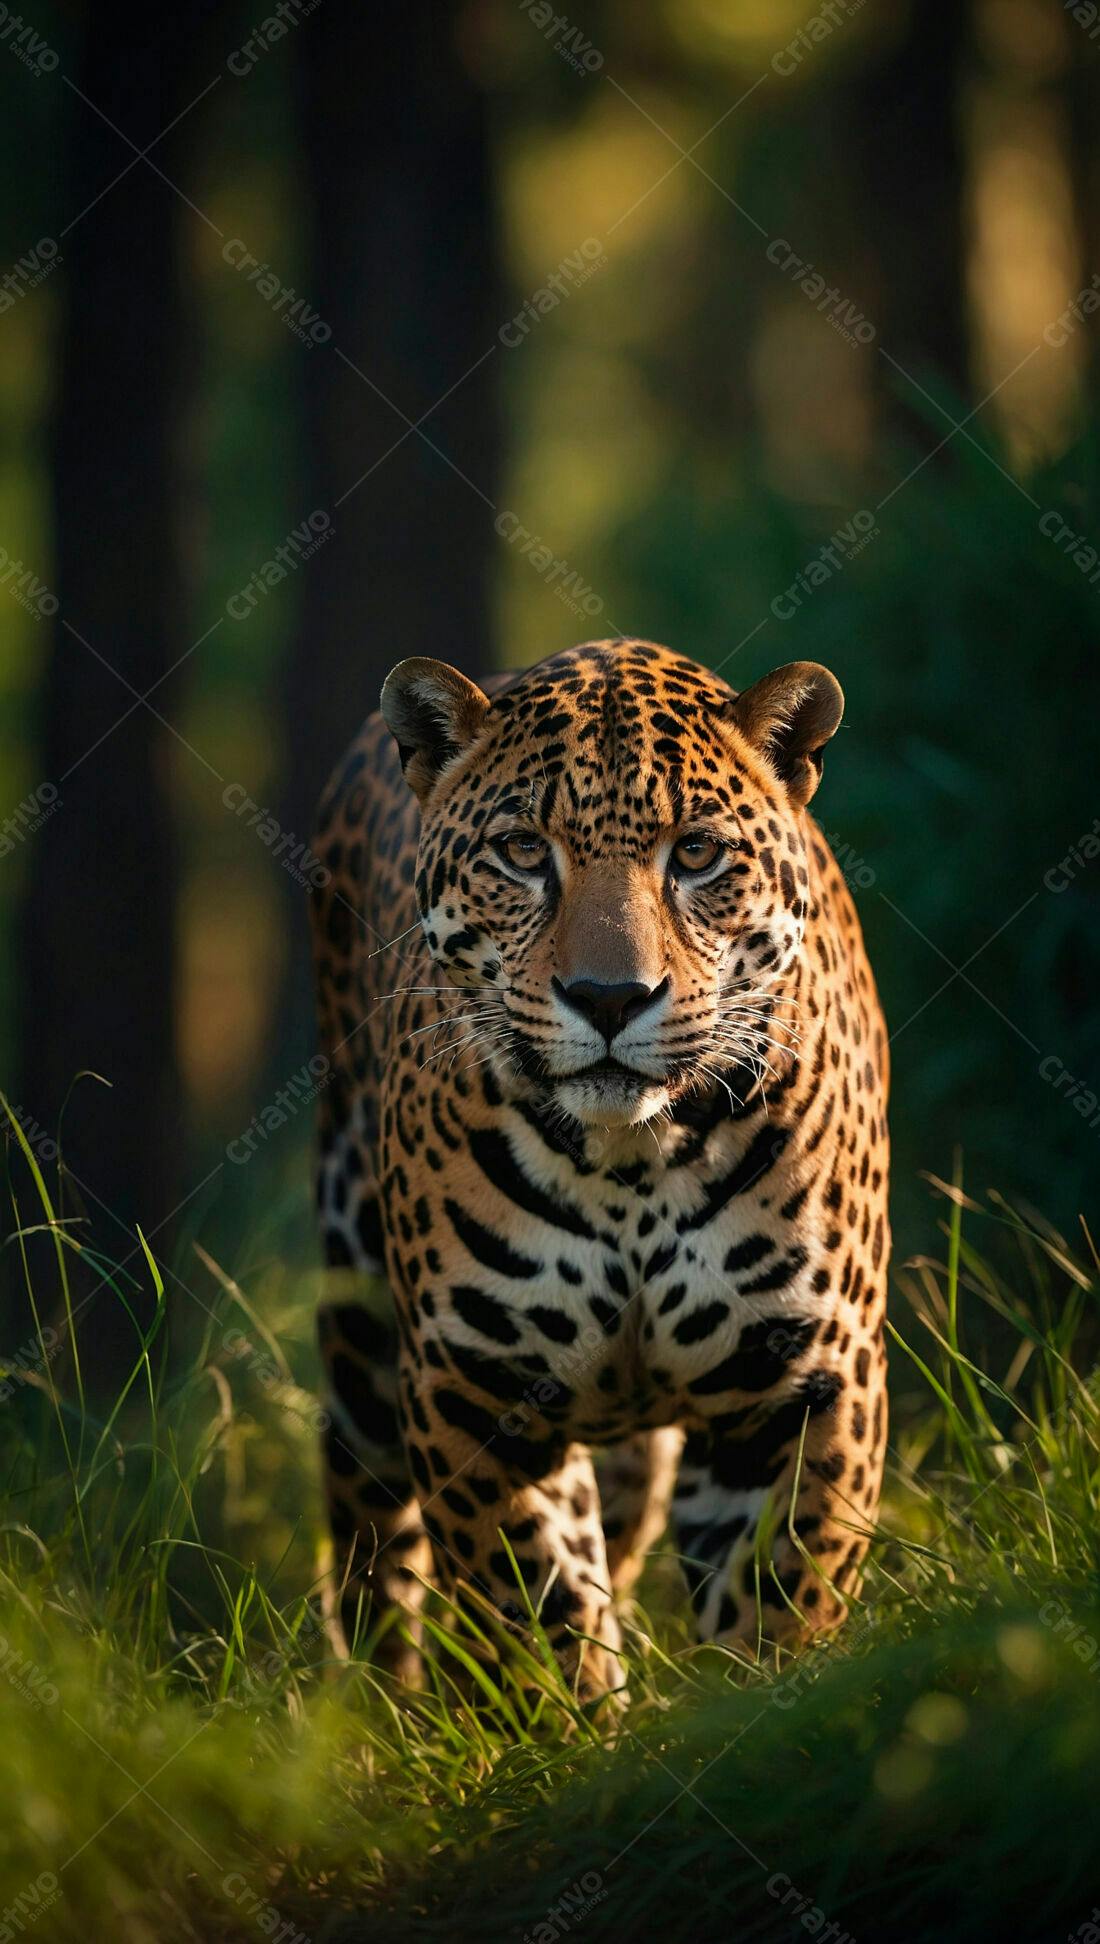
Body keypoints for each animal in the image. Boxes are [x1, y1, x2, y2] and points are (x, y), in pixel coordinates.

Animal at [309, 638, 889, 1702]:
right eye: (523, 852)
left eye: (696, 854)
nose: (611, 997)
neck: (633, 1168)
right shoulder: (479, 1386)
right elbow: (532, 1604)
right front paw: (566, 1719)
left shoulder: (806, 1376)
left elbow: (780, 1596)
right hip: (360, 1325)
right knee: (373, 1532)